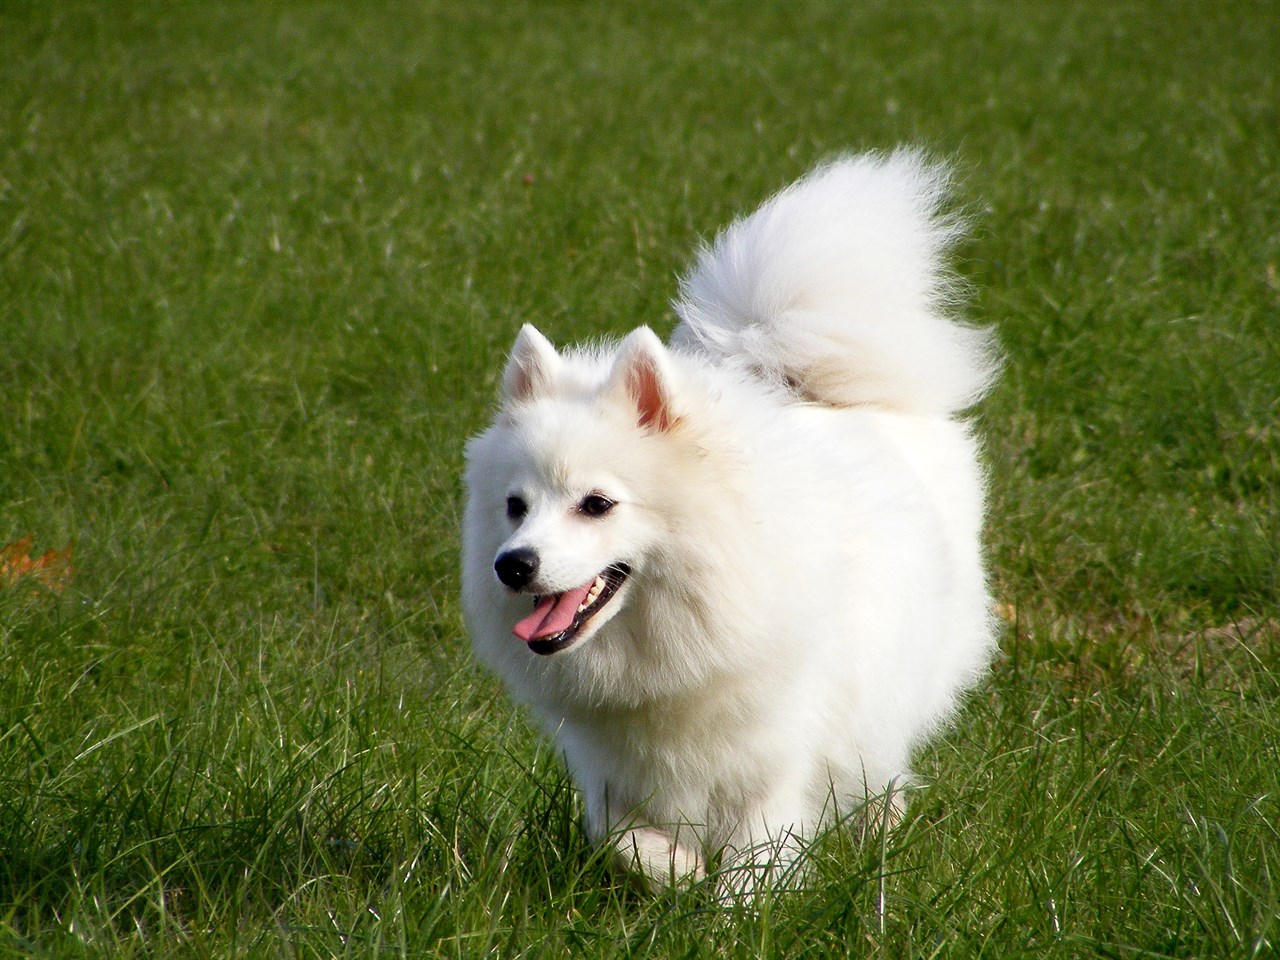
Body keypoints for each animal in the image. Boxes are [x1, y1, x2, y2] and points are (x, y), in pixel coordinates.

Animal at [460, 150, 998, 896]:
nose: (513, 565)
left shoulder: (775, 765)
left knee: (882, 763)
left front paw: (728, 909)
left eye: (596, 504)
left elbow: (750, 872)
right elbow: (620, 839)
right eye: (516, 506)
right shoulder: (610, 769)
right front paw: (678, 871)